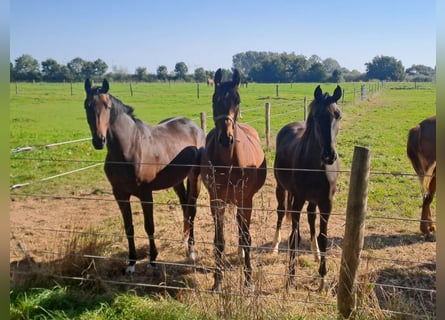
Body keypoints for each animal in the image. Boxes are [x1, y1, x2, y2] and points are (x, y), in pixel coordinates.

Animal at [83, 79, 205, 274]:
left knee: (192, 209)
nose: (99, 141)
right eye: (87, 105)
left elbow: (149, 227)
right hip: (177, 181)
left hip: (195, 177)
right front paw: (131, 263)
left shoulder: (146, 194)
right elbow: (129, 228)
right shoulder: (120, 195)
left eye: (107, 106)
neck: (129, 147)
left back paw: (191, 250)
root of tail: (195, 127)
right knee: (185, 207)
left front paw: (153, 260)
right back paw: (184, 240)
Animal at [199, 68, 266, 292]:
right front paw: (217, 281)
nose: (225, 138)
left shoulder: (246, 201)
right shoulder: (216, 202)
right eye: (214, 99)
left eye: (237, 100)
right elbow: (219, 241)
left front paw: (249, 281)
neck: (228, 161)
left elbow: (246, 238)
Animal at [272, 84, 342, 290]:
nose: (329, 155)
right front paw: (290, 278)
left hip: (313, 200)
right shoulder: (298, 200)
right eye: (317, 115)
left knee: (311, 216)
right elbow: (293, 237)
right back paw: (275, 246)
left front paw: (322, 279)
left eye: (338, 115)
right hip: (281, 188)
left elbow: (323, 237)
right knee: (281, 212)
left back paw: (315, 252)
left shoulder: (326, 203)